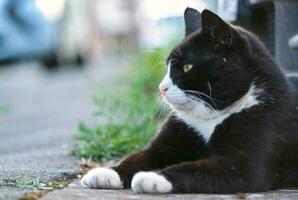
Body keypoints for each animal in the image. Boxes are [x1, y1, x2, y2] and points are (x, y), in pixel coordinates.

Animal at [80, 8, 298, 194]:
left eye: (187, 67)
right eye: (168, 66)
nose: (161, 87)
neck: (210, 117)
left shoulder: (244, 163)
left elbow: (195, 168)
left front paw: (154, 177)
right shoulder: (173, 136)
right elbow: (141, 156)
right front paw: (108, 172)